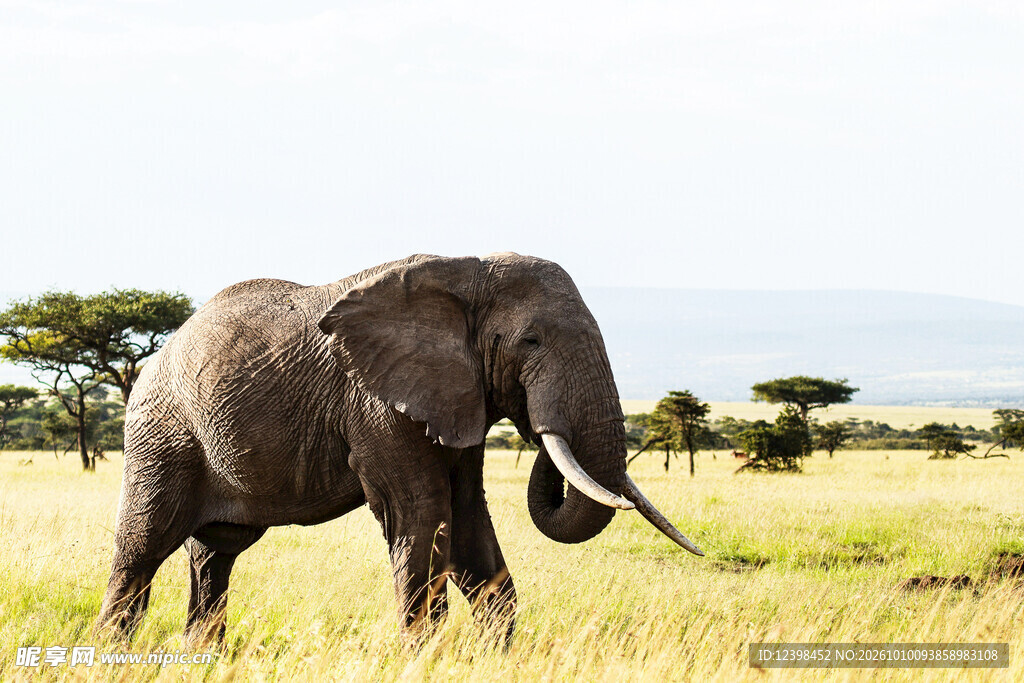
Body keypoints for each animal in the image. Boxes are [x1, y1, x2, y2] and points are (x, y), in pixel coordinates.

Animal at [95, 253, 702, 645]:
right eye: (530, 341)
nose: (536, 425)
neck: (465, 272)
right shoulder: (377, 401)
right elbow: (423, 512)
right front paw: (424, 656)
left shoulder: (455, 396)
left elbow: (467, 520)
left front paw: (497, 656)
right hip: (162, 433)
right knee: (143, 545)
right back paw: (112, 654)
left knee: (215, 553)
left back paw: (204, 656)